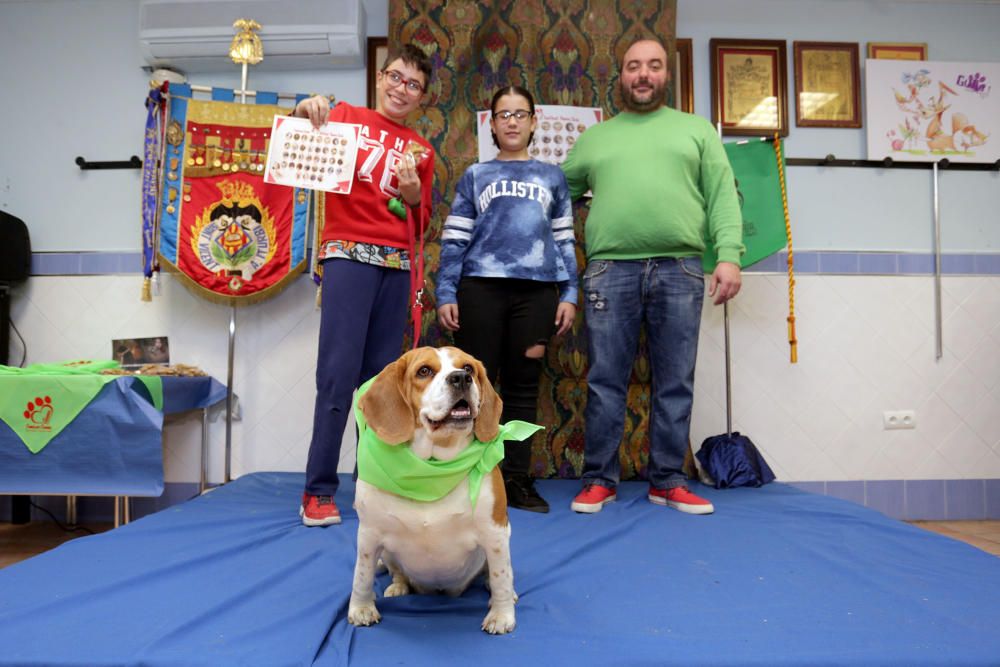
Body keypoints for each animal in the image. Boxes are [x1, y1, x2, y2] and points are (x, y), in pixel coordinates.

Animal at [350, 348, 520, 636]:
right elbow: (362, 576)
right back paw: (399, 586)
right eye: (424, 371)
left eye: (468, 367)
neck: (432, 469)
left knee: (499, 573)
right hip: (387, 552)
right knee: (396, 572)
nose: (461, 378)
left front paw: (501, 615)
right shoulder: (369, 534)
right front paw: (361, 608)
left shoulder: (495, 533)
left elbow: (501, 578)